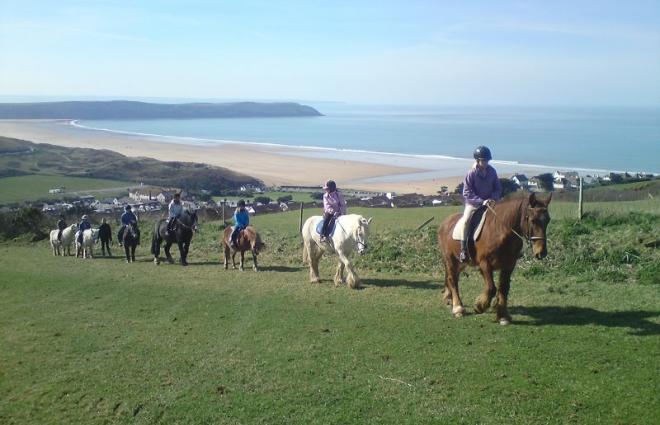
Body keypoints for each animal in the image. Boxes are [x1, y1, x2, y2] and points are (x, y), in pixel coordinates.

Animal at [438, 192, 552, 324]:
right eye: (533, 220)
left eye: (548, 220)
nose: (541, 252)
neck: (501, 231)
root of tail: (445, 223)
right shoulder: (485, 264)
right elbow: (491, 288)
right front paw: (479, 306)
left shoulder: (509, 265)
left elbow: (504, 288)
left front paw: (502, 316)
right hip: (450, 259)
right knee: (452, 279)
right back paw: (458, 308)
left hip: (460, 263)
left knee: (454, 278)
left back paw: (451, 300)